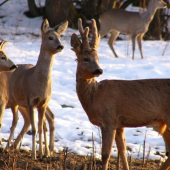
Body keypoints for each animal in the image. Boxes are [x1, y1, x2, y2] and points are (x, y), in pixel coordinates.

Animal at [6, 18, 67, 159]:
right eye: (50, 37)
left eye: (60, 37)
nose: (61, 46)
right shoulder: (31, 101)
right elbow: (34, 129)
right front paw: (34, 155)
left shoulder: (42, 103)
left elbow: (40, 127)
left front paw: (43, 154)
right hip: (13, 100)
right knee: (16, 123)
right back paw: (8, 148)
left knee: (38, 121)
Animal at [70, 17, 170, 169]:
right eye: (85, 59)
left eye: (98, 58)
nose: (99, 70)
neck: (94, 97)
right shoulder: (119, 124)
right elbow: (122, 151)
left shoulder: (109, 120)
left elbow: (105, 154)